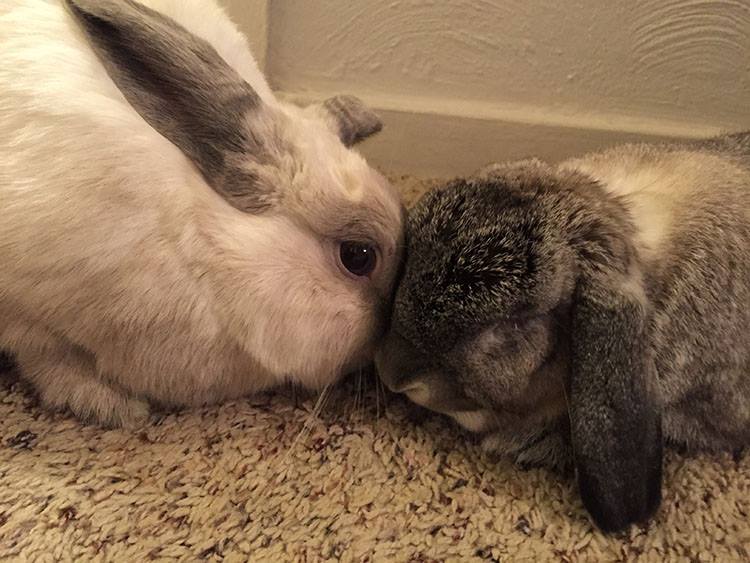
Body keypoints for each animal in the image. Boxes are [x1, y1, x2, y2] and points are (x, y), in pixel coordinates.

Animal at [0, 0, 404, 428]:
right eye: (358, 256)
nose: (380, 351)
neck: (202, 253)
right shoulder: (24, 312)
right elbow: (48, 358)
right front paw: (111, 406)